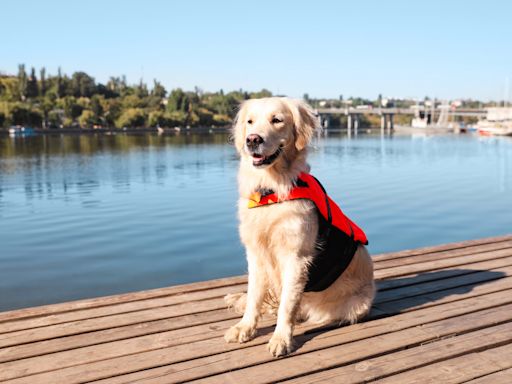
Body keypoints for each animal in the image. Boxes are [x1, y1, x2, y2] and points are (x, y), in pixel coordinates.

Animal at [224, 97, 376, 356]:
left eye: (277, 120)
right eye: (250, 121)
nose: (252, 139)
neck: (270, 192)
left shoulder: (295, 258)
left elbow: (288, 305)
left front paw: (281, 339)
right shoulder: (255, 254)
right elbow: (254, 296)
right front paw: (245, 327)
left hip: (358, 302)